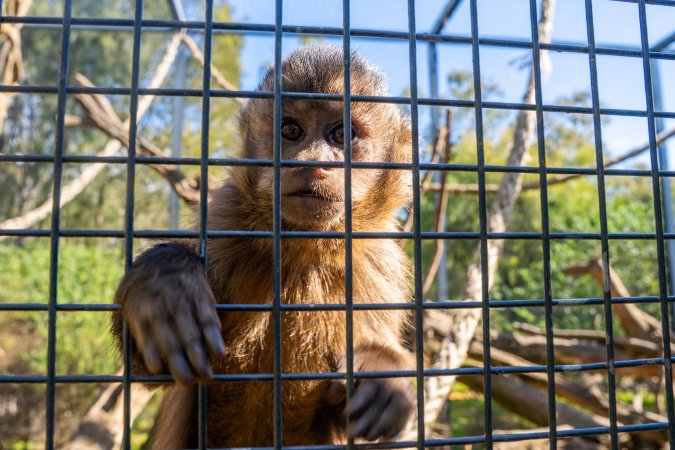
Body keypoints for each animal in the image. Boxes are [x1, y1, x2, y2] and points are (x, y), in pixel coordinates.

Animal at [112, 44, 415, 448]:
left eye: (342, 134)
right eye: (291, 130)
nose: (313, 163)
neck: (303, 248)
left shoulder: (380, 263)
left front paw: (385, 376)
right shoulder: (226, 220)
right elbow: (148, 368)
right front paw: (164, 287)